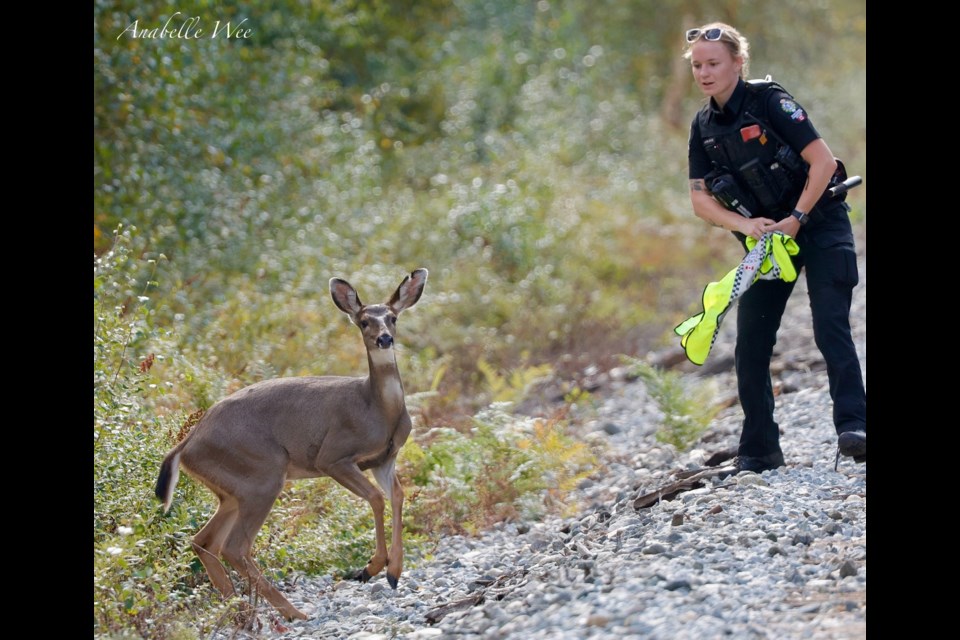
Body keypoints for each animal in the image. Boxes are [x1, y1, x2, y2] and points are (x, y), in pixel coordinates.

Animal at [153, 266, 428, 620]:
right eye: (364, 321)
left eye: (392, 317)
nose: (385, 339)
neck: (377, 408)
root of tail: (185, 445)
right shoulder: (333, 456)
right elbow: (376, 498)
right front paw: (370, 568)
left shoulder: (384, 458)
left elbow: (397, 496)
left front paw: (393, 572)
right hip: (263, 475)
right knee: (234, 546)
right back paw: (291, 612)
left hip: (231, 491)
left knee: (203, 540)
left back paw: (241, 611)